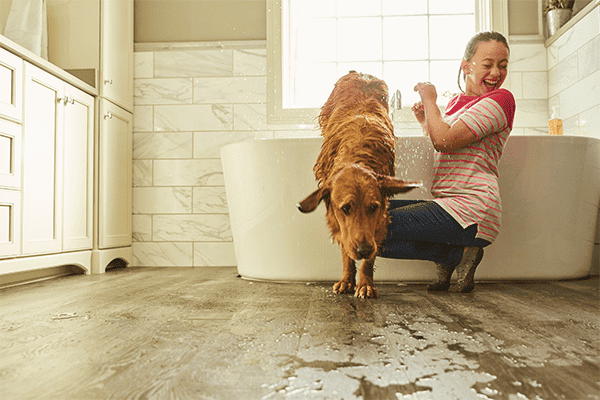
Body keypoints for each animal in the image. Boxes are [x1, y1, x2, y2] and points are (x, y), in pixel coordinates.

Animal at [296, 71, 420, 296]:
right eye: (346, 208)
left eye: (372, 207)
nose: (364, 250)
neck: (357, 155)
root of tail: (361, 73)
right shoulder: (338, 220)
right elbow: (346, 250)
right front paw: (347, 279)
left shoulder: (380, 218)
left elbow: (369, 259)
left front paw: (365, 283)